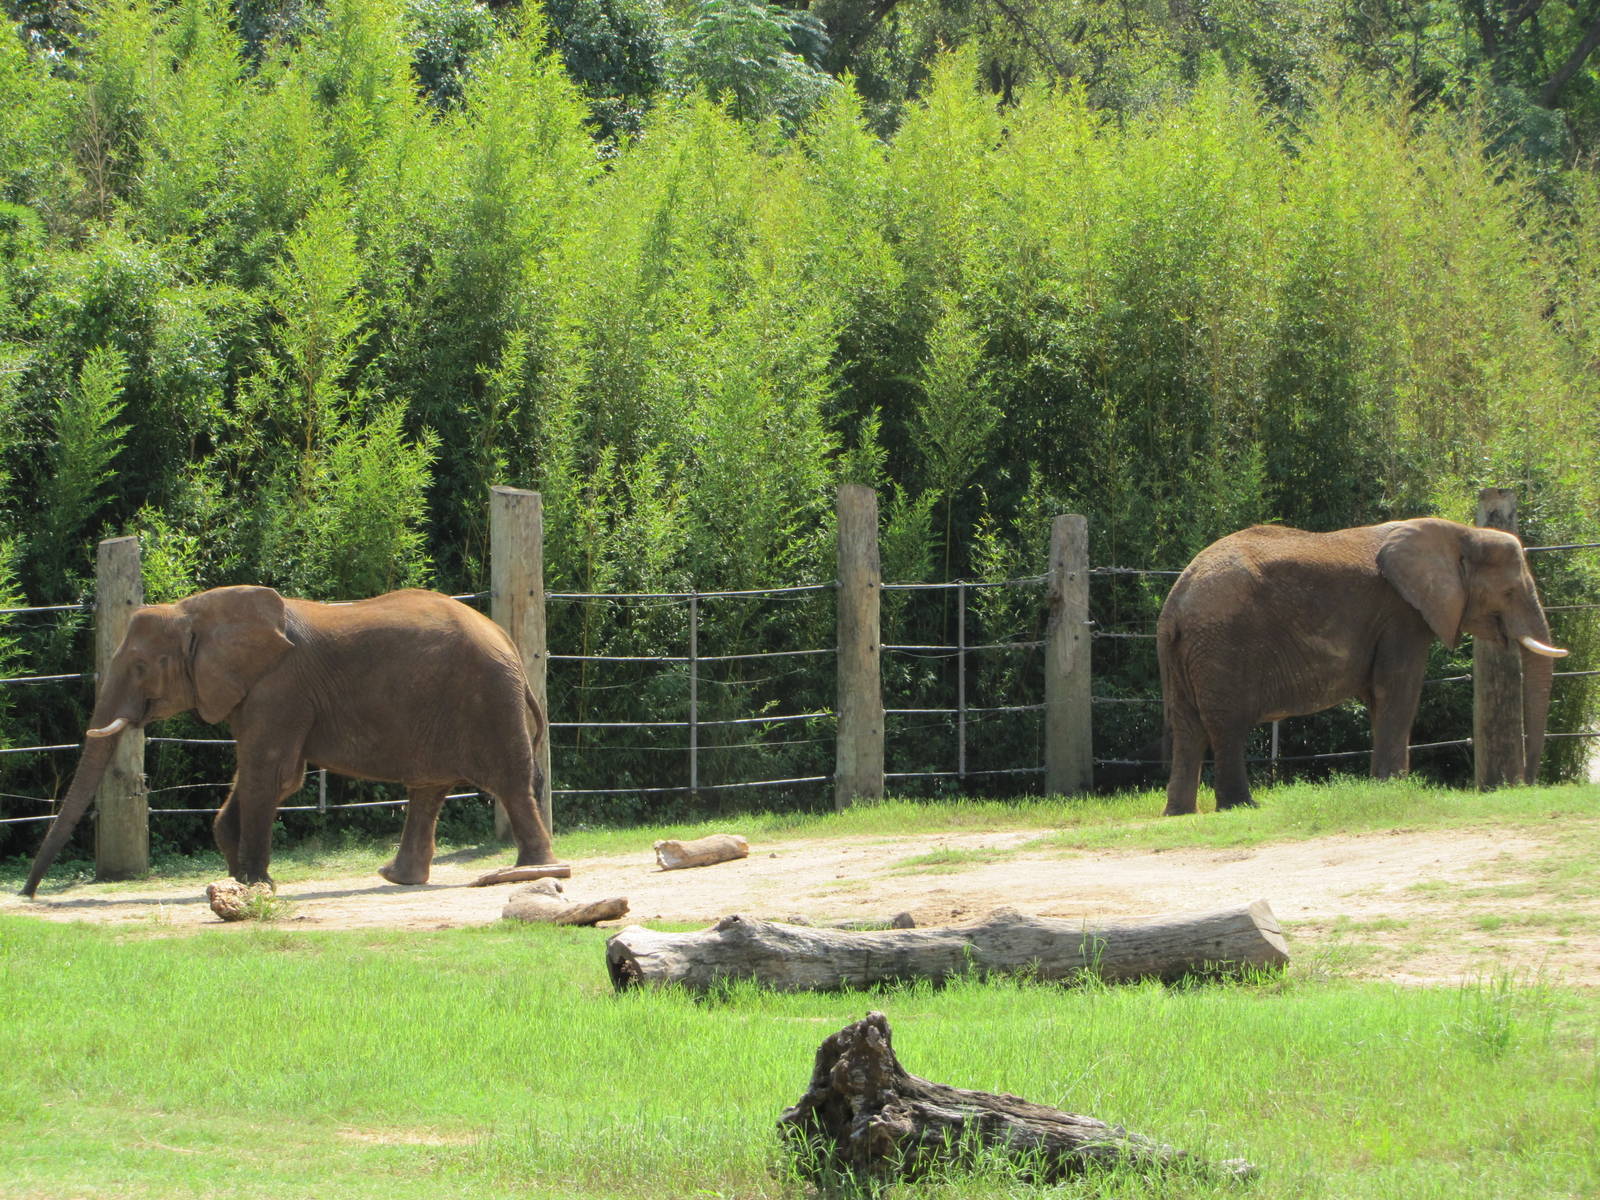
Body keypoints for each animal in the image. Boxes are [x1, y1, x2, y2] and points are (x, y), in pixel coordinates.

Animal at [22, 586, 560, 896]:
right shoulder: (250, 693)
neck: (197, 613)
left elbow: (271, 773)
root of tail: (509, 642)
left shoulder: (279, 689)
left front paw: (256, 883)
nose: (27, 894)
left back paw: (536, 872)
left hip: (489, 699)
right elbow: (263, 776)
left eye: (139, 666)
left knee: (510, 784)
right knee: (428, 789)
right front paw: (239, 879)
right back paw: (394, 878)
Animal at [1157, 518, 1567, 815]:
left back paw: (1180, 812)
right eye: (1509, 592)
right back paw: (1243, 806)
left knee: (1187, 727)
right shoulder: (1401, 614)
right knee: (1227, 726)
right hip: (1224, 642)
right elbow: (1397, 690)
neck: (1461, 532)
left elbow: (1378, 697)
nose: (1527, 784)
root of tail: (1175, 603)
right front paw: (1393, 787)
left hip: (1184, 652)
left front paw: (1390, 784)